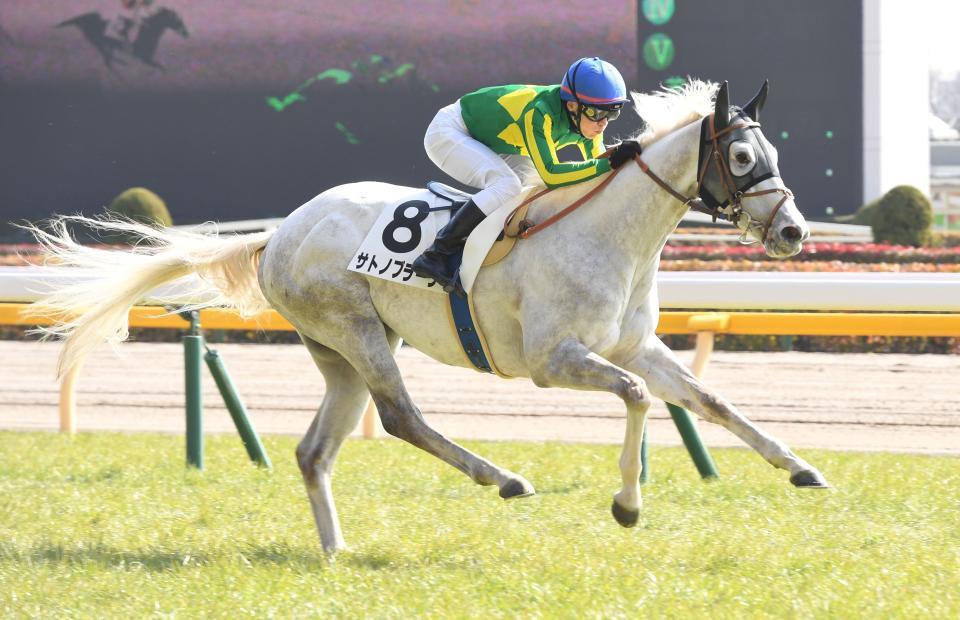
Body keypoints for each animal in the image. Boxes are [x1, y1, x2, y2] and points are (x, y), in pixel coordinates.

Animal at [26, 80, 828, 556]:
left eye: (771, 150)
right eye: (743, 155)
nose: (794, 233)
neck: (610, 234)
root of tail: (278, 233)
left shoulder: (636, 345)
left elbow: (712, 400)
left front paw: (801, 467)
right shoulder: (553, 361)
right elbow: (635, 399)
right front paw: (627, 505)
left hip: (341, 351)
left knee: (315, 451)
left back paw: (336, 551)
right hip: (354, 331)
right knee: (402, 418)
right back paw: (503, 479)